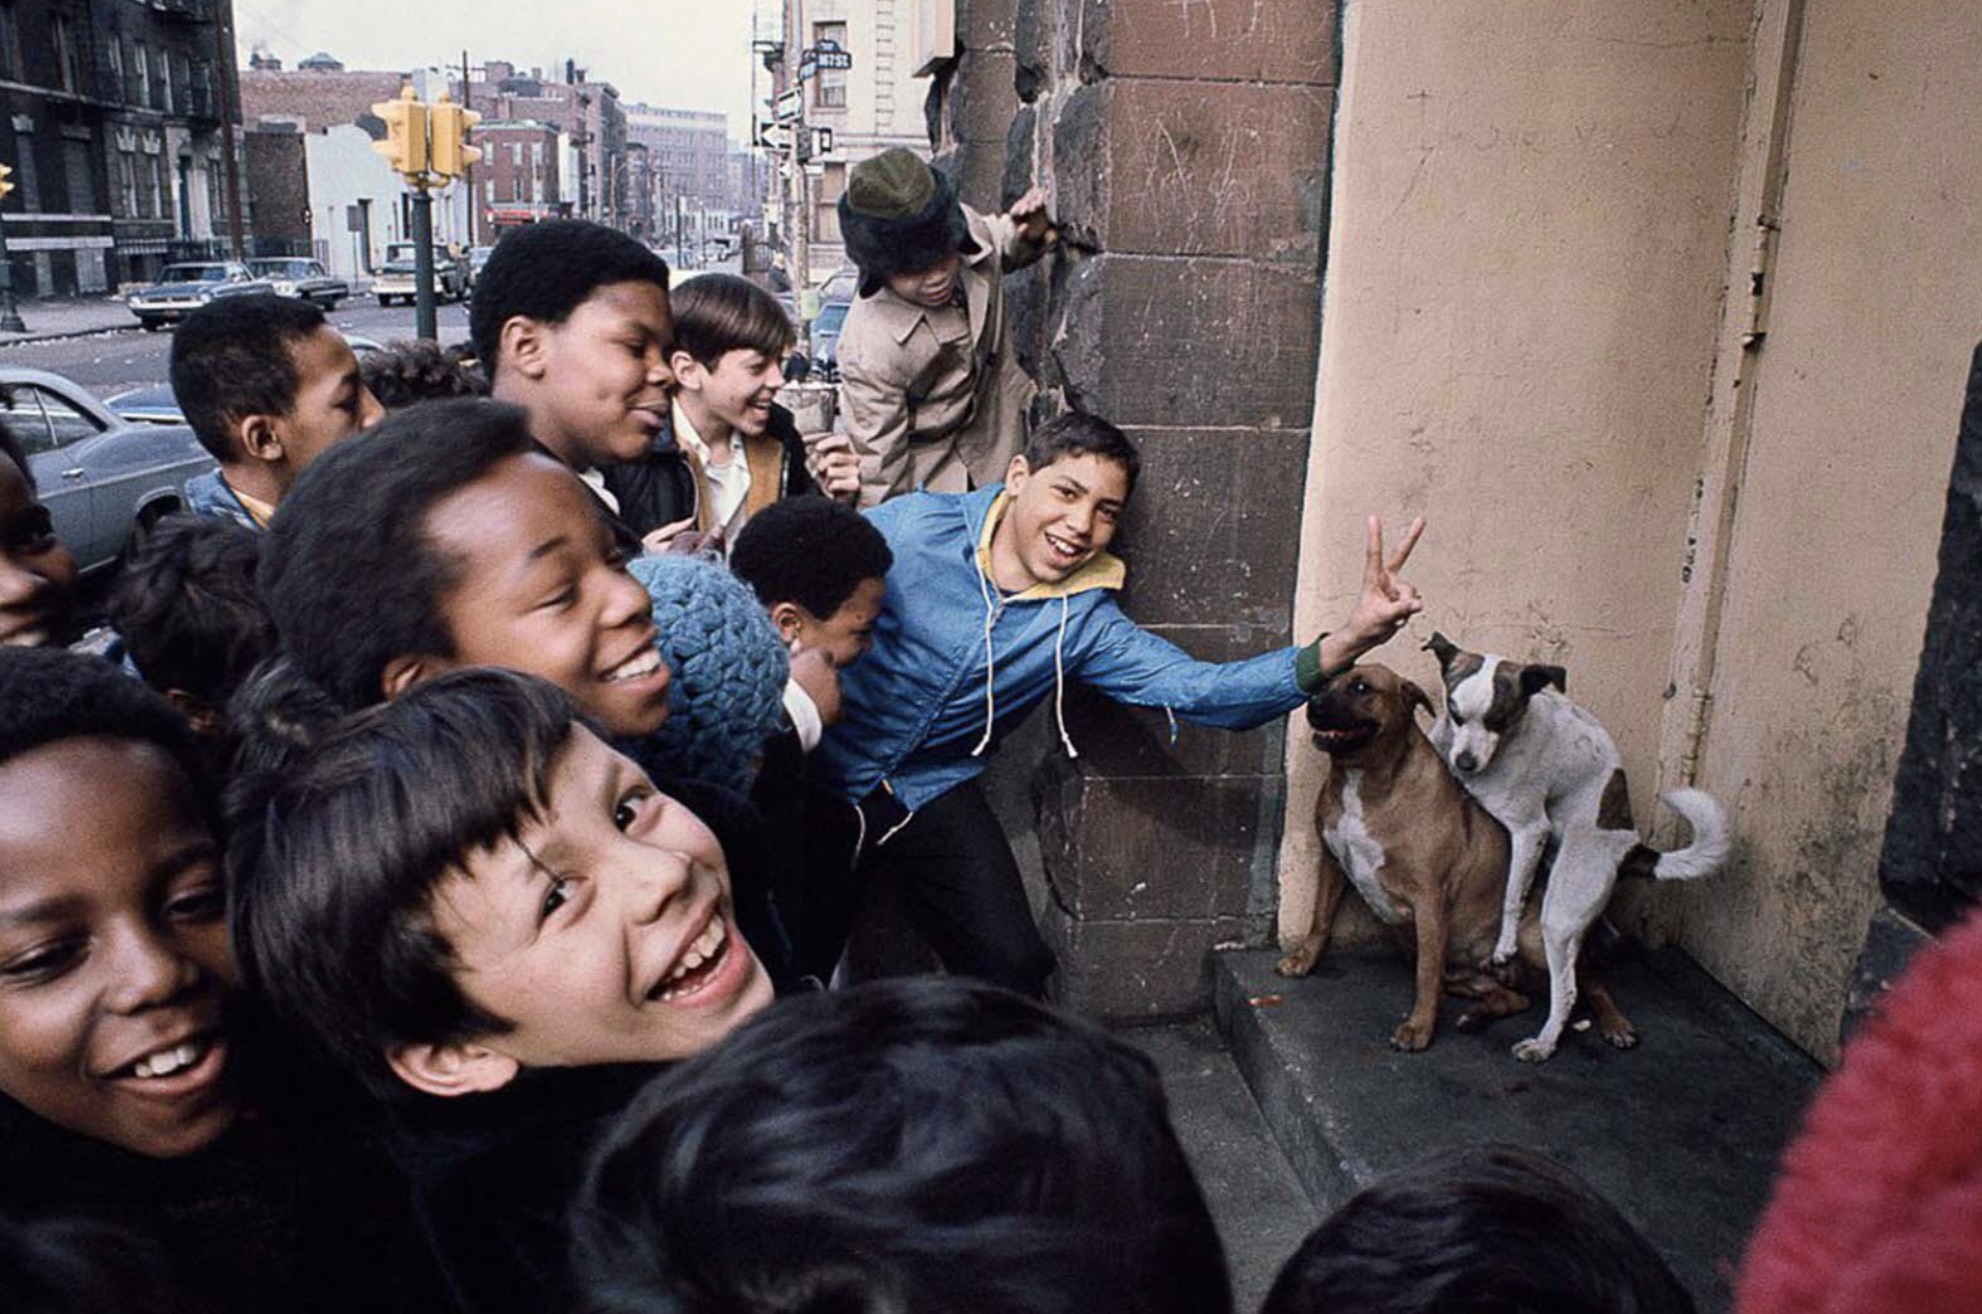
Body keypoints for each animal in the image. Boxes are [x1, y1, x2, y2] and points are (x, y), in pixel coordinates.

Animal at [1427, 634, 1736, 1062]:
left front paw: (1504, 945)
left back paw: (1544, 1043)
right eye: (1456, 714)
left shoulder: (1529, 829)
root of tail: (1631, 846)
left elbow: (1512, 895)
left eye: (1498, 720)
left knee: (1569, 990)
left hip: (1558, 917)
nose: (1466, 763)